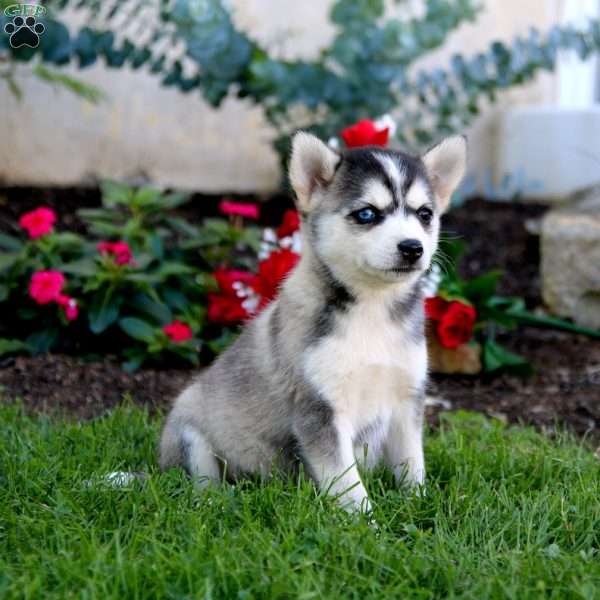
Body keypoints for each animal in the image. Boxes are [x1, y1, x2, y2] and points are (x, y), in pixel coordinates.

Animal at [161, 134, 468, 512]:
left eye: (425, 214)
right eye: (367, 213)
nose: (412, 248)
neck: (372, 310)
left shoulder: (405, 398)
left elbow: (412, 464)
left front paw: (420, 506)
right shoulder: (320, 409)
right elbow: (348, 483)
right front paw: (367, 522)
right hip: (188, 431)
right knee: (202, 485)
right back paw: (219, 500)